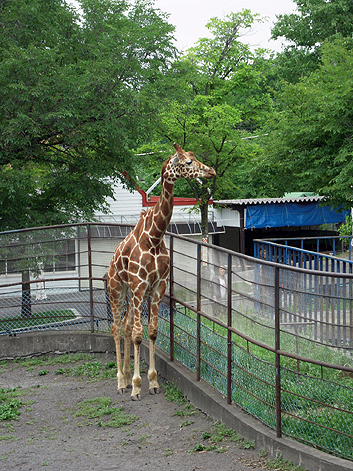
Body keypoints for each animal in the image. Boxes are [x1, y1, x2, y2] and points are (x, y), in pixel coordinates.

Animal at [106, 143, 214, 402]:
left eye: (194, 157)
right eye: (187, 162)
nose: (211, 171)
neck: (154, 238)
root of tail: (112, 262)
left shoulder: (157, 286)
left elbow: (152, 332)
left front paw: (152, 382)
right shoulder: (139, 285)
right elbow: (138, 334)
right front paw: (137, 387)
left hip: (131, 293)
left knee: (125, 325)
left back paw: (126, 376)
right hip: (117, 288)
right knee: (116, 328)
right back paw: (121, 382)